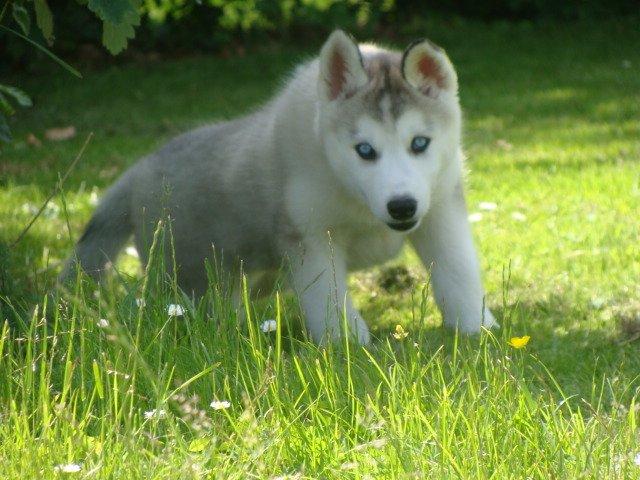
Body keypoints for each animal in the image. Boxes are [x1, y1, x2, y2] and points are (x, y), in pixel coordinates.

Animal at [60, 30, 498, 344]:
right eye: (365, 150)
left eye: (420, 143)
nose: (402, 206)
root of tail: (138, 170)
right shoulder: (309, 238)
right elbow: (329, 300)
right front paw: (348, 348)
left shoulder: (441, 210)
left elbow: (458, 274)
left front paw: (477, 330)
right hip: (181, 275)